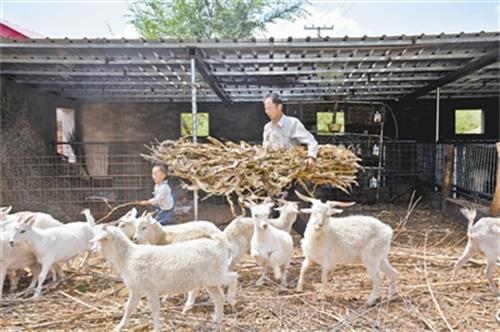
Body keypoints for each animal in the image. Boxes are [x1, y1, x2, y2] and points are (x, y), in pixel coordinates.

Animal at [91, 227, 236, 330]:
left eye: (99, 240)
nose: (92, 250)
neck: (128, 256)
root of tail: (219, 244)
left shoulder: (150, 289)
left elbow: (155, 310)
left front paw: (156, 328)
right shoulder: (136, 289)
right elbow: (129, 308)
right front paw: (119, 327)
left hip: (214, 275)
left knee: (234, 277)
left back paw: (231, 298)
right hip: (209, 281)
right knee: (219, 298)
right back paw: (216, 323)